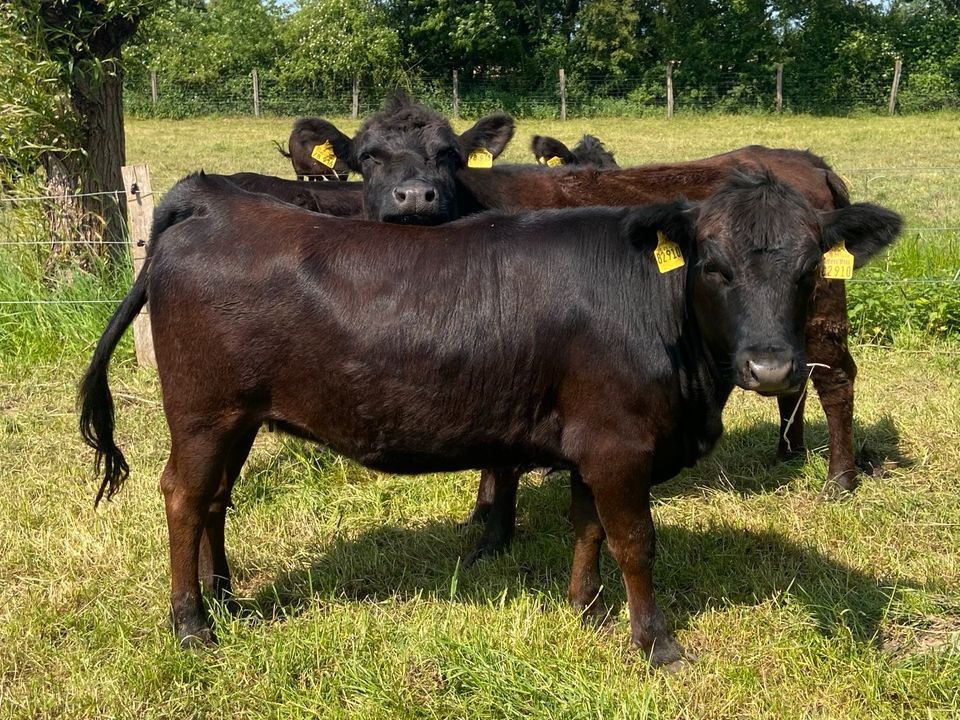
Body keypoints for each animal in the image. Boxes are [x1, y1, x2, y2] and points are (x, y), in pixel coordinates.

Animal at [77, 172, 900, 668]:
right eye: (714, 266)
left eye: (809, 270)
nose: (772, 367)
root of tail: (210, 202)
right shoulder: (619, 443)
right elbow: (635, 541)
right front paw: (655, 643)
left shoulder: (589, 439)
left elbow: (587, 528)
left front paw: (584, 610)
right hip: (203, 412)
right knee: (184, 497)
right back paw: (192, 624)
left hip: (239, 416)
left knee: (216, 499)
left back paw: (225, 597)